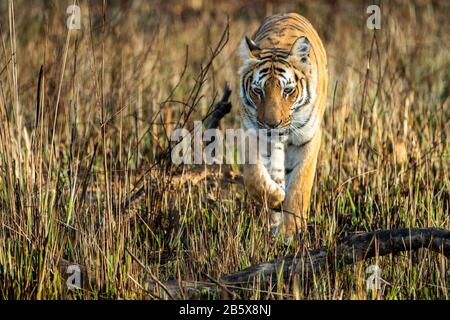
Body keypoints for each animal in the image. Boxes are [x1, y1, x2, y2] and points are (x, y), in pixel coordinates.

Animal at [239, 11, 326, 240]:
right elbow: (253, 177)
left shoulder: (308, 138)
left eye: (287, 90)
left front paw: (290, 231)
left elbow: (299, 186)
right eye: (258, 91)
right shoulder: (252, 133)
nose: (272, 124)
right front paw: (276, 199)